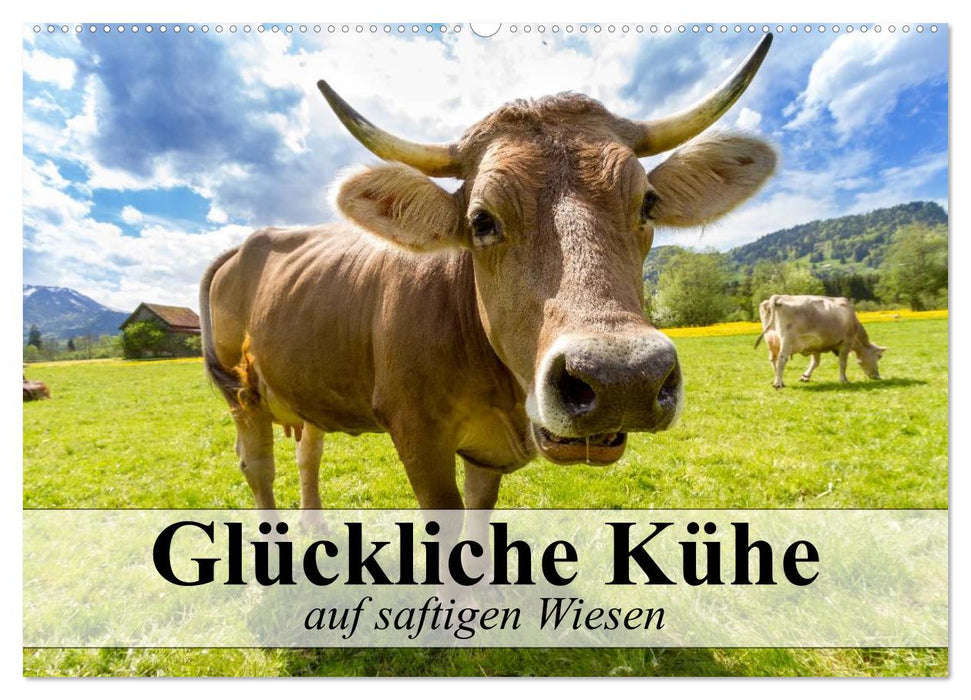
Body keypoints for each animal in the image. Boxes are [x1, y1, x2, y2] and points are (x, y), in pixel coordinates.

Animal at [200, 35, 777, 515]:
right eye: (482, 220)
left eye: (648, 204)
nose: (623, 379)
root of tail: (247, 243)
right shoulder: (417, 436)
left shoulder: (486, 455)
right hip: (242, 393)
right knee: (258, 468)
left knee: (307, 454)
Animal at [755, 294, 886, 389]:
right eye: (879, 356)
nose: (877, 376)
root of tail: (779, 297)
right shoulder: (846, 343)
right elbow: (843, 363)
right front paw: (844, 379)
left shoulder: (815, 345)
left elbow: (815, 362)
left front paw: (805, 376)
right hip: (787, 340)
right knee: (782, 359)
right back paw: (778, 383)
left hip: (771, 340)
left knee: (773, 359)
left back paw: (780, 381)